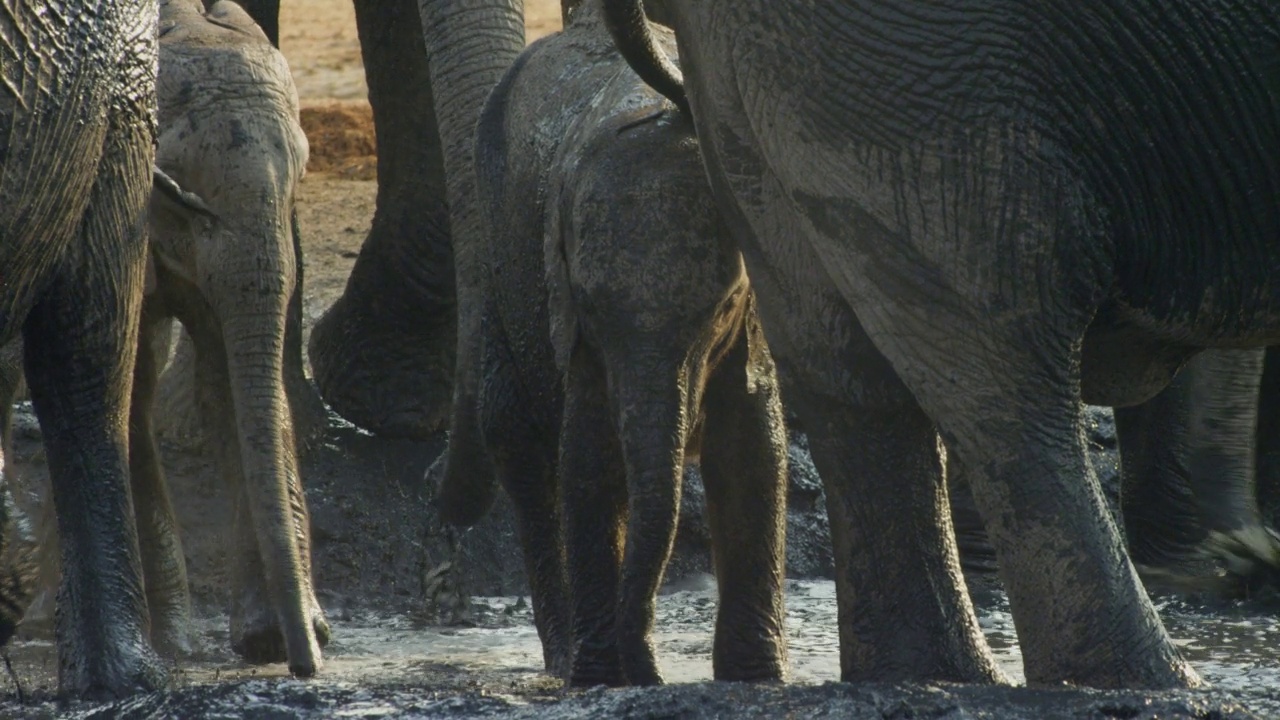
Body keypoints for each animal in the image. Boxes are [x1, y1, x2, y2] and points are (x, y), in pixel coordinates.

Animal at [430, 4, 788, 681]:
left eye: (722, 307)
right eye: (590, 306)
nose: (648, 666)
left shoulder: (750, 337)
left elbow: (754, 454)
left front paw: (757, 678)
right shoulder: (572, 327)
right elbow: (590, 464)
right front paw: (604, 677)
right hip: (500, 268)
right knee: (520, 446)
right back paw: (565, 660)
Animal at [601, 0, 1280, 686]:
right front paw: (1236, 564)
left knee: (841, 357)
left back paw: (932, 673)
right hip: (916, 63)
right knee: (996, 335)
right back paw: (1152, 679)